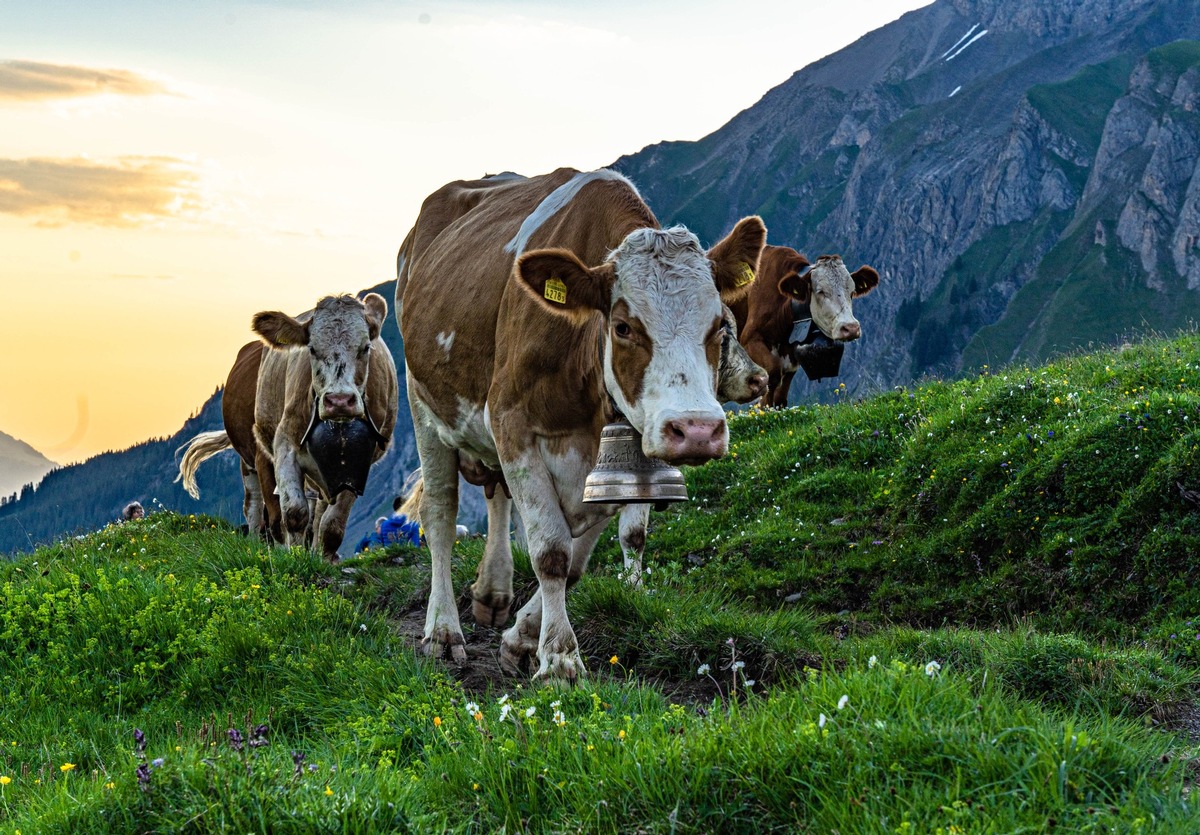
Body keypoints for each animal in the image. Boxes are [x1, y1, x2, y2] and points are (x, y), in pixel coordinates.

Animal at [398, 167, 763, 676]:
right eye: (624, 326)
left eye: (719, 327)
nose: (696, 431)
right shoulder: (511, 422)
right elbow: (551, 551)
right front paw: (559, 659)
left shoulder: (613, 462)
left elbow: (576, 560)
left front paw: (522, 640)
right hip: (422, 403)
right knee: (440, 514)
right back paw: (443, 629)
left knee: (497, 497)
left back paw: (493, 593)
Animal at [724, 244, 878, 407]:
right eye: (820, 291)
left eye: (852, 291)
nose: (851, 328)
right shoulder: (751, 340)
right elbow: (771, 376)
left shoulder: (791, 355)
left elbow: (781, 395)